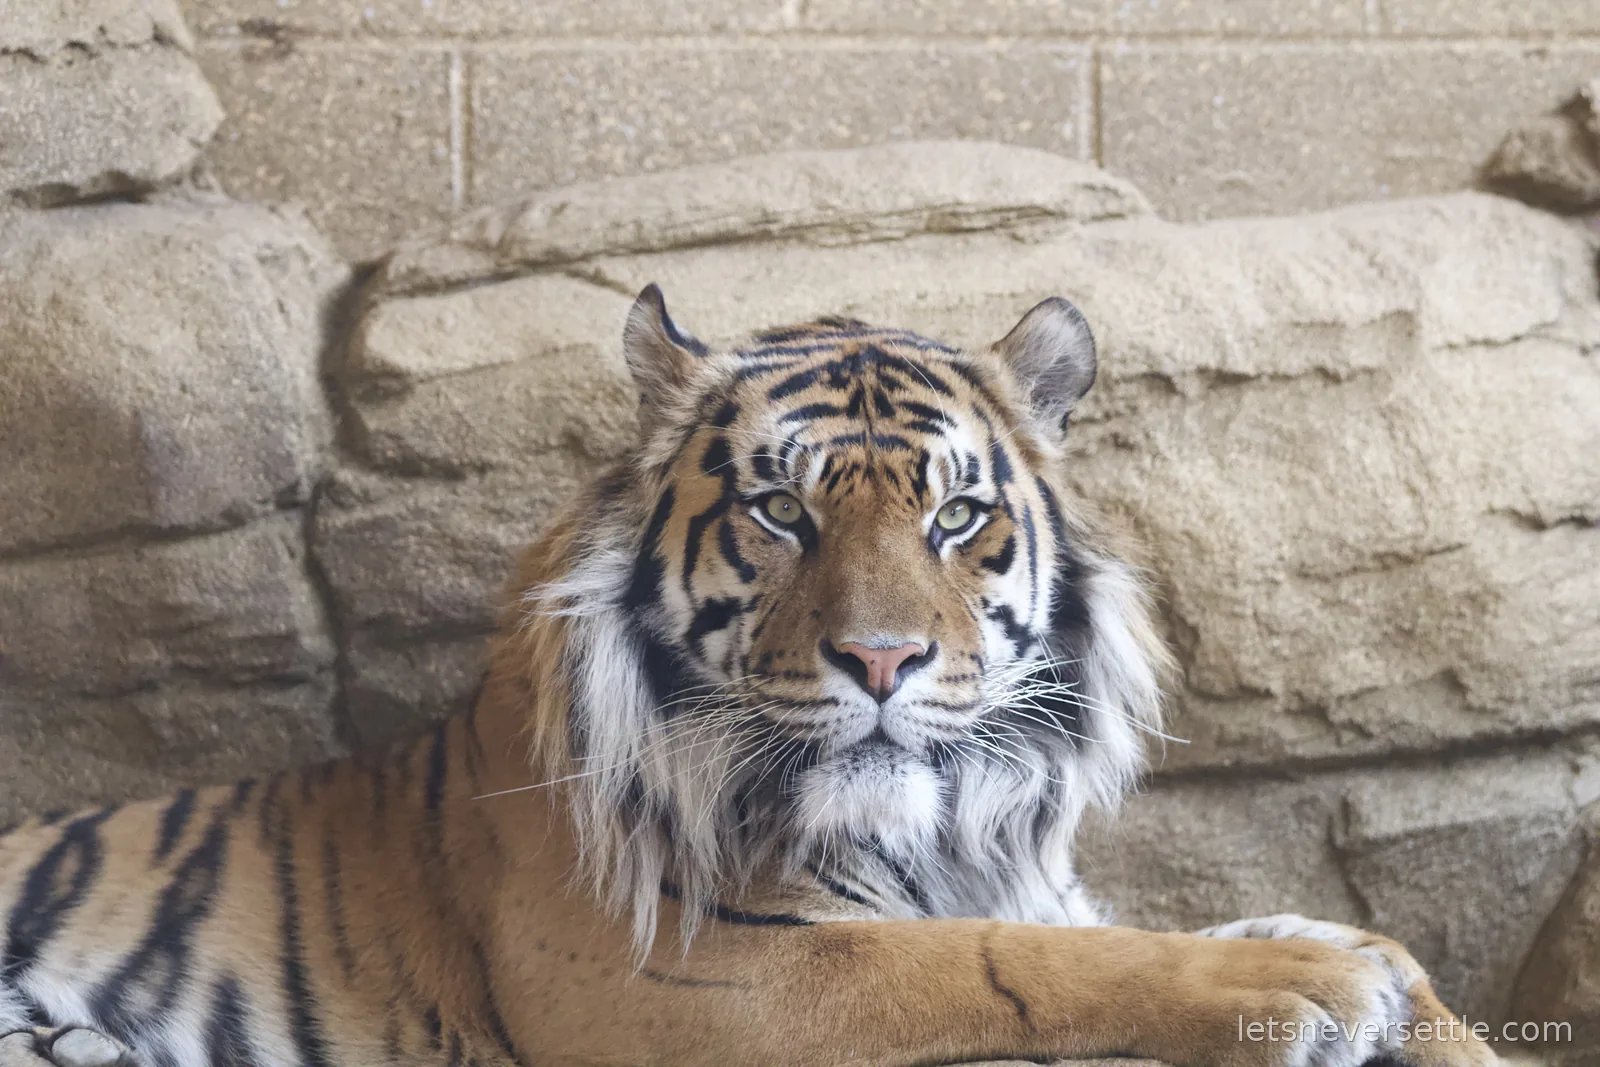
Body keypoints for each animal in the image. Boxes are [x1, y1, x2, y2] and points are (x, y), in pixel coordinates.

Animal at [0, 286, 1494, 1067]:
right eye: (782, 511)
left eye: (956, 515)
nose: (883, 658)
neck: (947, 826)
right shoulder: (694, 978)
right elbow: (1008, 959)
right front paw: (1301, 989)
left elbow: (1350, 938)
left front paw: (1375, 981)